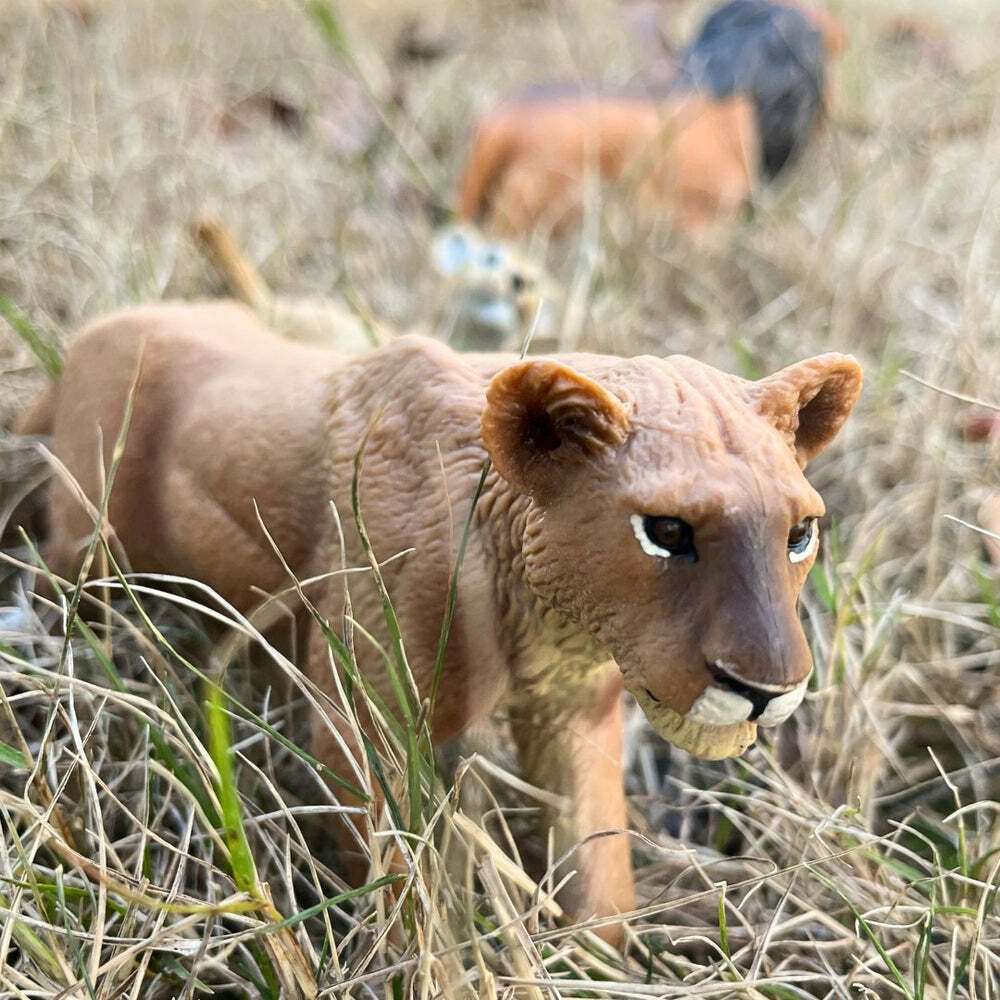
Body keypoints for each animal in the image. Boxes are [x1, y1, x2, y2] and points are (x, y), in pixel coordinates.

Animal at [14, 301, 861, 941]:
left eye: (800, 533)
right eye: (666, 530)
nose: (765, 690)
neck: (549, 615)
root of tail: (90, 336)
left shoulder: (573, 709)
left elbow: (597, 863)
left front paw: (602, 960)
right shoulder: (362, 721)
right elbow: (400, 887)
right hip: (87, 545)